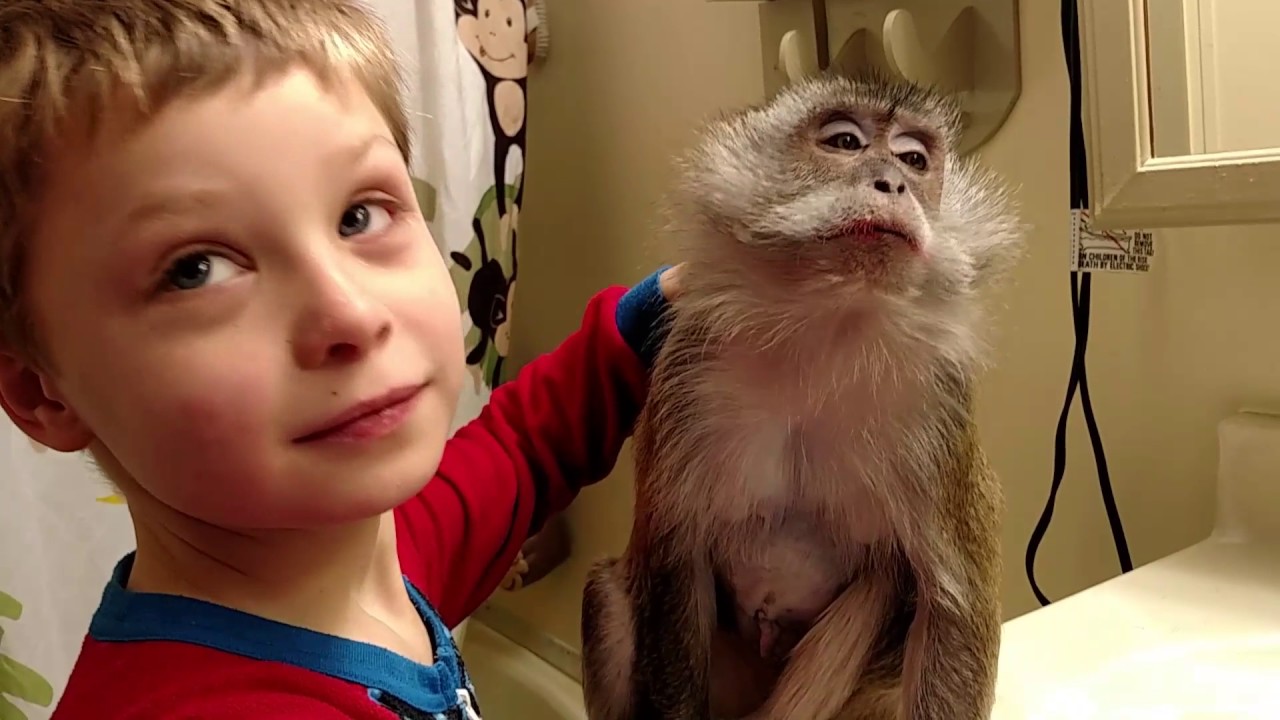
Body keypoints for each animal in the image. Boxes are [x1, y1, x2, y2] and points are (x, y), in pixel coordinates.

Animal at [579, 71, 1024, 720]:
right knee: (607, 594)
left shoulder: (938, 406)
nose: (893, 182)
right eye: (844, 142)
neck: (826, 334)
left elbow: (955, 606)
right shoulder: (690, 372)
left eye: (915, 160)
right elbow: (673, 565)